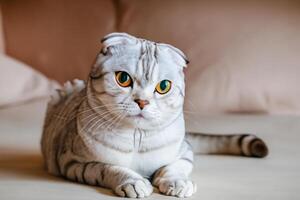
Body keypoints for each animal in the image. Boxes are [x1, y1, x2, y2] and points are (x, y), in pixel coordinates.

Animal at [41, 32, 268, 198]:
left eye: (163, 86)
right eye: (123, 79)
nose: (142, 101)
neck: (137, 137)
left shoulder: (185, 152)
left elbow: (174, 167)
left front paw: (177, 182)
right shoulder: (74, 162)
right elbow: (110, 168)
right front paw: (134, 182)